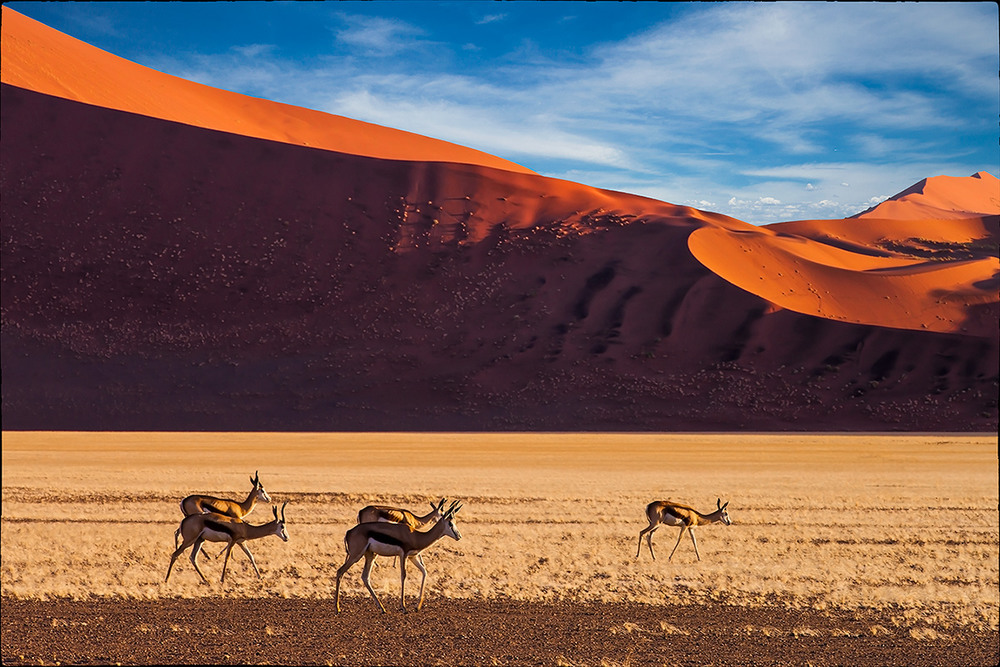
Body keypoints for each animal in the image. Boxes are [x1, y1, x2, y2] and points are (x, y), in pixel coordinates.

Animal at [334, 500, 462, 616]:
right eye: (450, 524)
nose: (459, 536)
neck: (416, 536)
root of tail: (349, 532)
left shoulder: (412, 557)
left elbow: (424, 571)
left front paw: (418, 606)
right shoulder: (403, 555)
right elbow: (403, 576)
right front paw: (404, 607)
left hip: (370, 555)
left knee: (365, 577)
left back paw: (382, 608)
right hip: (355, 556)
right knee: (340, 571)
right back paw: (337, 609)